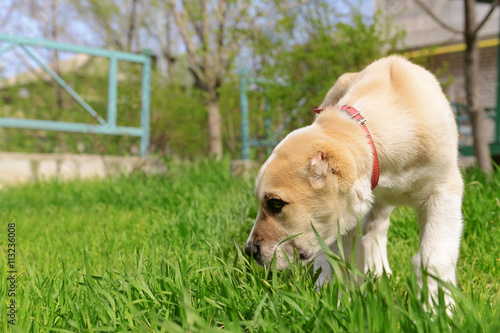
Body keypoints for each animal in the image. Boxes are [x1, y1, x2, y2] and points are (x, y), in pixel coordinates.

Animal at [246, 55, 464, 308]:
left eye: (276, 203)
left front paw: (438, 309)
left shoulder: (443, 191)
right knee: (366, 233)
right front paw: (343, 304)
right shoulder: (341, 219)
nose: (249, 251)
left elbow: (433, 258)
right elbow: (342, 261)